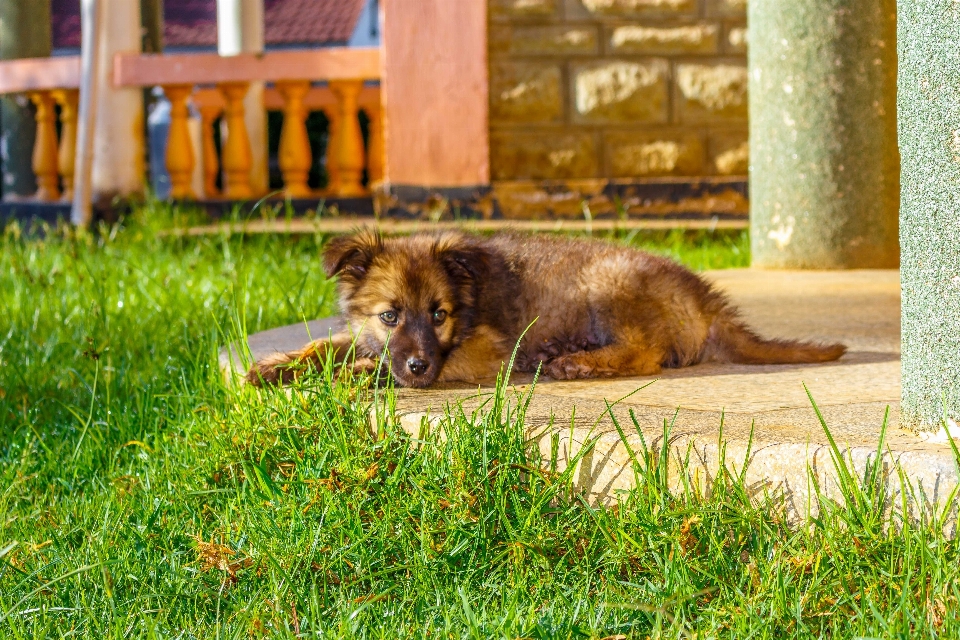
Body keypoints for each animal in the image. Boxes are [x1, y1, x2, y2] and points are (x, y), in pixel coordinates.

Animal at [248, 231, 848, 390]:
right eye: (389, 316)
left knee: (648, 354)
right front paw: (275, 367)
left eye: (439, 315)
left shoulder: (484, 351)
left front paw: (352, 374)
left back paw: (577, 362)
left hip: (606, 284)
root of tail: (703, 296)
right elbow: (324, 344)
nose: (417, 368)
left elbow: (372, 365)